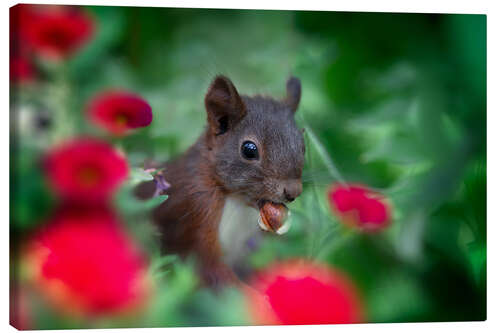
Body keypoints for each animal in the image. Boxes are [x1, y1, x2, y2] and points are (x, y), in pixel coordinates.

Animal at [137, 75, 306, 288]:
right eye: (249, 149)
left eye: (303, 146)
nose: (293, 192)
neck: (237, 201)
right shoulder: (196, 211)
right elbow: (212, 271)